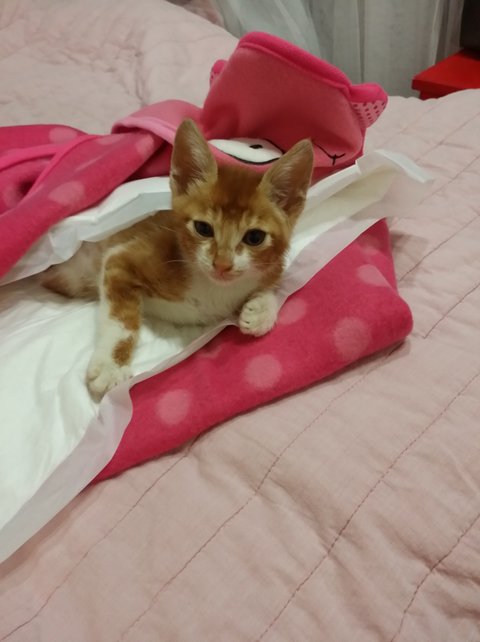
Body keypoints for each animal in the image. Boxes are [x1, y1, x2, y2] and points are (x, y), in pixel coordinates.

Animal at [41, 119, 314, 399]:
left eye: (255, 237)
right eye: (203, 228)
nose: (222, 264)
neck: (212, 288)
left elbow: (274, 284)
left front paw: (261, 310)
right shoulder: (122, 259)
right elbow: (121, 318)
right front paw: (111, 365)